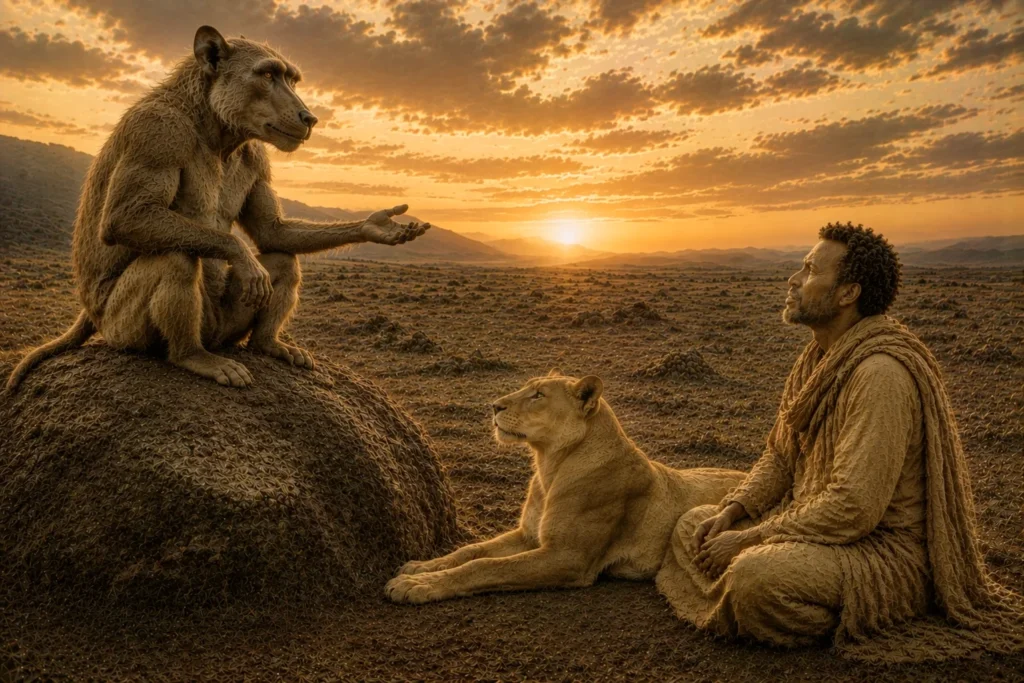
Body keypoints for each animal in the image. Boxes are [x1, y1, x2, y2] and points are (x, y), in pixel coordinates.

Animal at [6, 25, 429, 392]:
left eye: (291, 79)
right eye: (268, 74)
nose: (308, 117)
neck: (215, 127)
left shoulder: (256, 156)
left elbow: (272, 231)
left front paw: (377, 225)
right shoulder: (157, 132)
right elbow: (128, 216)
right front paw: (241, 254)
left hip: (225, 329)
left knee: (283, 259)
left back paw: (267, 343)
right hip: (120, 329)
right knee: (175, 257)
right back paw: (192, 356)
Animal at [385, 371, 747, 604]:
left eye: (538, 395)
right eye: (527, 389)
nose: (494, 406)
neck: (549, 466)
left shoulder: (568, 557)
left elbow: (485, 567)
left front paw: (415, 585)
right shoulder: (529, 536)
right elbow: (470, 551)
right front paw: (421, 567)